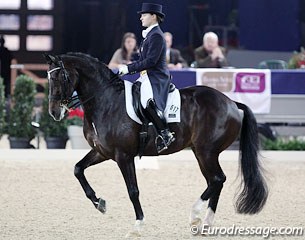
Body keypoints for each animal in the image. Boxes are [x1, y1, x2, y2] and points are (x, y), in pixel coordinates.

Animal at [44, 52, 268, 236]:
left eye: (60, 77)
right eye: (48, 78)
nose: (54, 112)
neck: (106, 101)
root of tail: (231, 102)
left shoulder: (123, 156)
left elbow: (133, 190)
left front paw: (137, 226)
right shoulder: (102, 152)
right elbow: (78, 169)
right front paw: (99, 203)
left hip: (207, 152)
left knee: (217, 179)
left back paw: (195, 215)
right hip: (201, 153)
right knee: (215, 181)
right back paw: (204, 223)